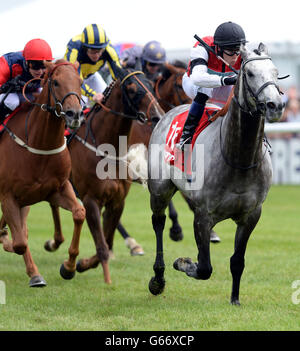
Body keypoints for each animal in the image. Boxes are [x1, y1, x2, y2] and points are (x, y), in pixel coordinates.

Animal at [0, 59, 85, 288]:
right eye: (55, 82)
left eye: (80, 81)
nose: (75, 114)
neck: (39, 144)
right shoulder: (8, 196)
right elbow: (19, 242)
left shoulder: (56, 189)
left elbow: (79, 213)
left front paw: (69, 267)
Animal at [45, 64, 165, 284]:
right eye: (132, 89)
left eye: (152, 84)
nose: (157, 116)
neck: (107, 148)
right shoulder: (91, 199)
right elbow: (101, 245)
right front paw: (97, 275)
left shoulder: (117, 201)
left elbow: (107, 241)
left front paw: (81, 264)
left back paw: (54, 242)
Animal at [148, 43, 284, 306]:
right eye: (250, 73)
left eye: (275, 71)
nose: (276, 105)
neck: (239, 159)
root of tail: (167, 113)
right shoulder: (203, 215)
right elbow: (204, 268)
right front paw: (184, 262)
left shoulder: (251, 215)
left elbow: (237, 261)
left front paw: (235, 299)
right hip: (159, 189)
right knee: (158, 222)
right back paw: (158, 279)